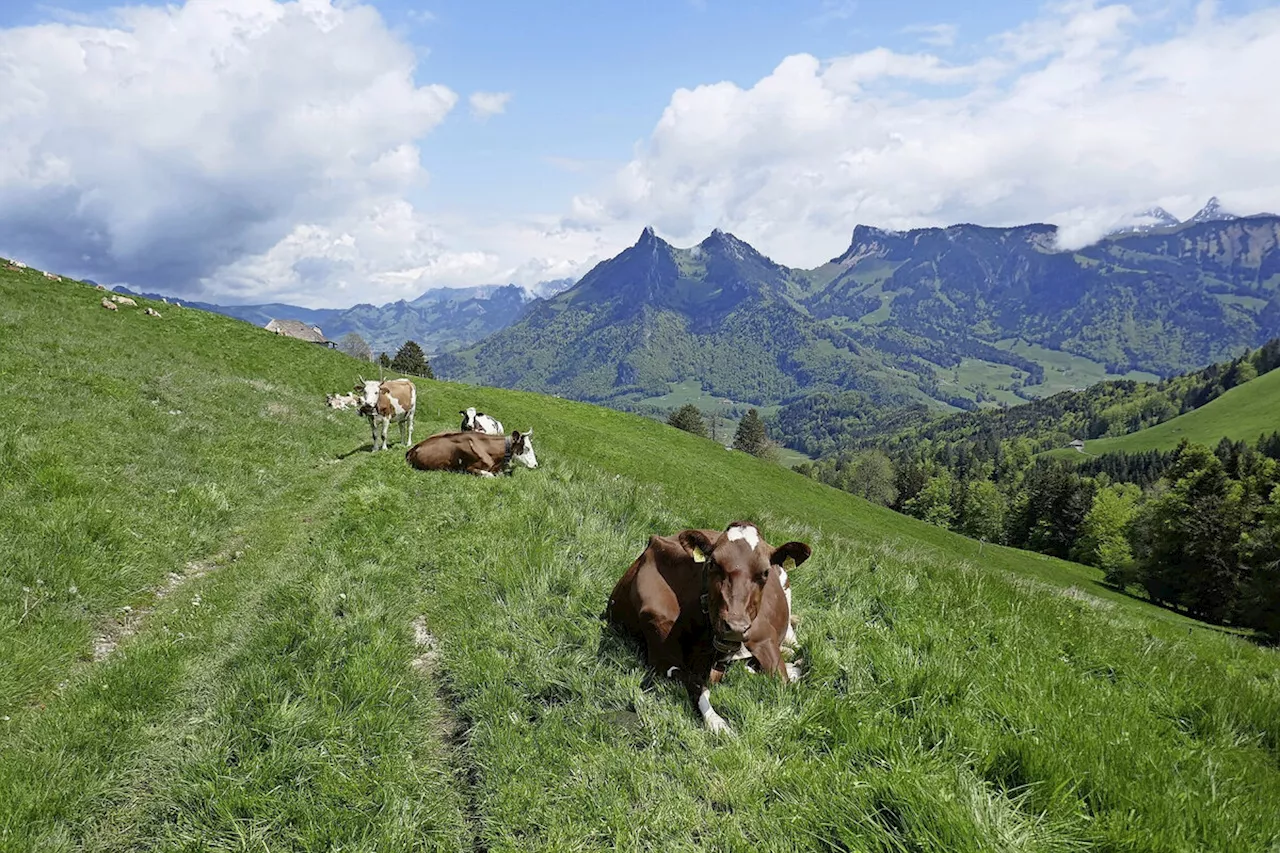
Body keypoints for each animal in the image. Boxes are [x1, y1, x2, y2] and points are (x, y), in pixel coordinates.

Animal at [606, 517, 808, 732]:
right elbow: (697, 685)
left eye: (765, 573)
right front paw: (718, 724)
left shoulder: (765, 638)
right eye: (713, 563)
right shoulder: (661, 655)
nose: (735, 627)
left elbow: (781, 681)